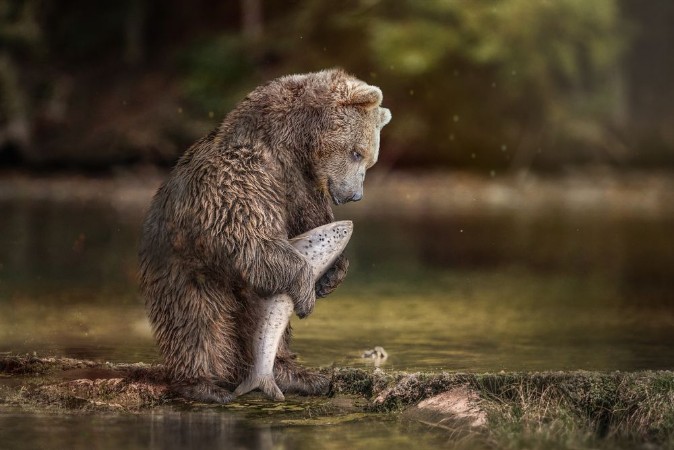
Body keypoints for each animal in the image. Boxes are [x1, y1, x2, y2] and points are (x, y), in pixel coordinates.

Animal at [138, 68, 391, 403]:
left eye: (369, 159)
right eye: (356, 152)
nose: (354, 195)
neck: (292, 146)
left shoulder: (300, 188)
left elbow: (305, 224)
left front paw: (332, 275)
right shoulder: (245, 175)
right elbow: (250, 237)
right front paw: (308, 288)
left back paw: (298, 375)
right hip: (185, 265)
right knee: (197, 319)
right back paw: (204, 385)